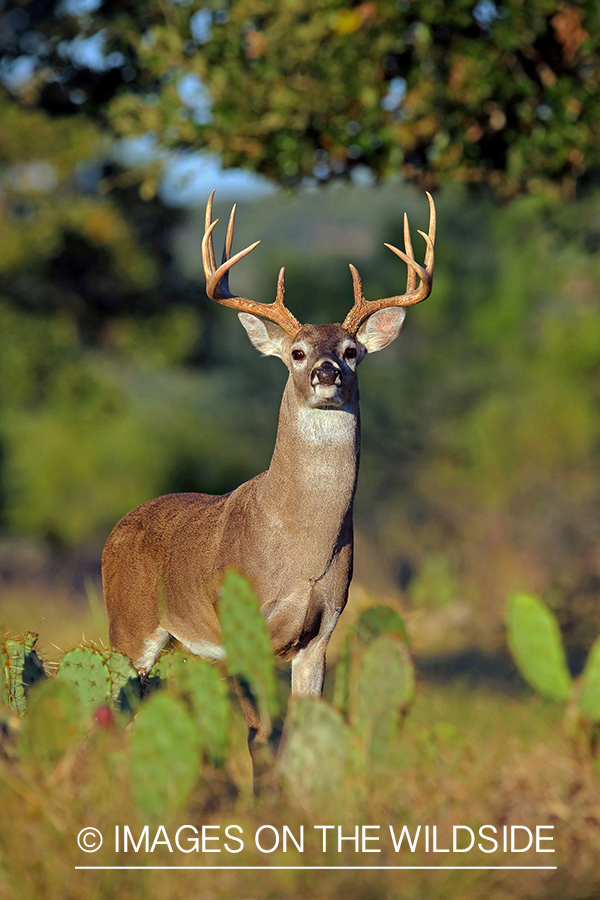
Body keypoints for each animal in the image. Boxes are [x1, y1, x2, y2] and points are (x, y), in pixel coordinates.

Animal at [102, 188, 432, 740]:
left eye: (352, 351)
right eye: (296, 352)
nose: (326, 372)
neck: (302, 552)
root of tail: (114, 532)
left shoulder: (321, 632)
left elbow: (301, 730)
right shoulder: (241, 627)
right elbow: (260, 735)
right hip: (128, 627)